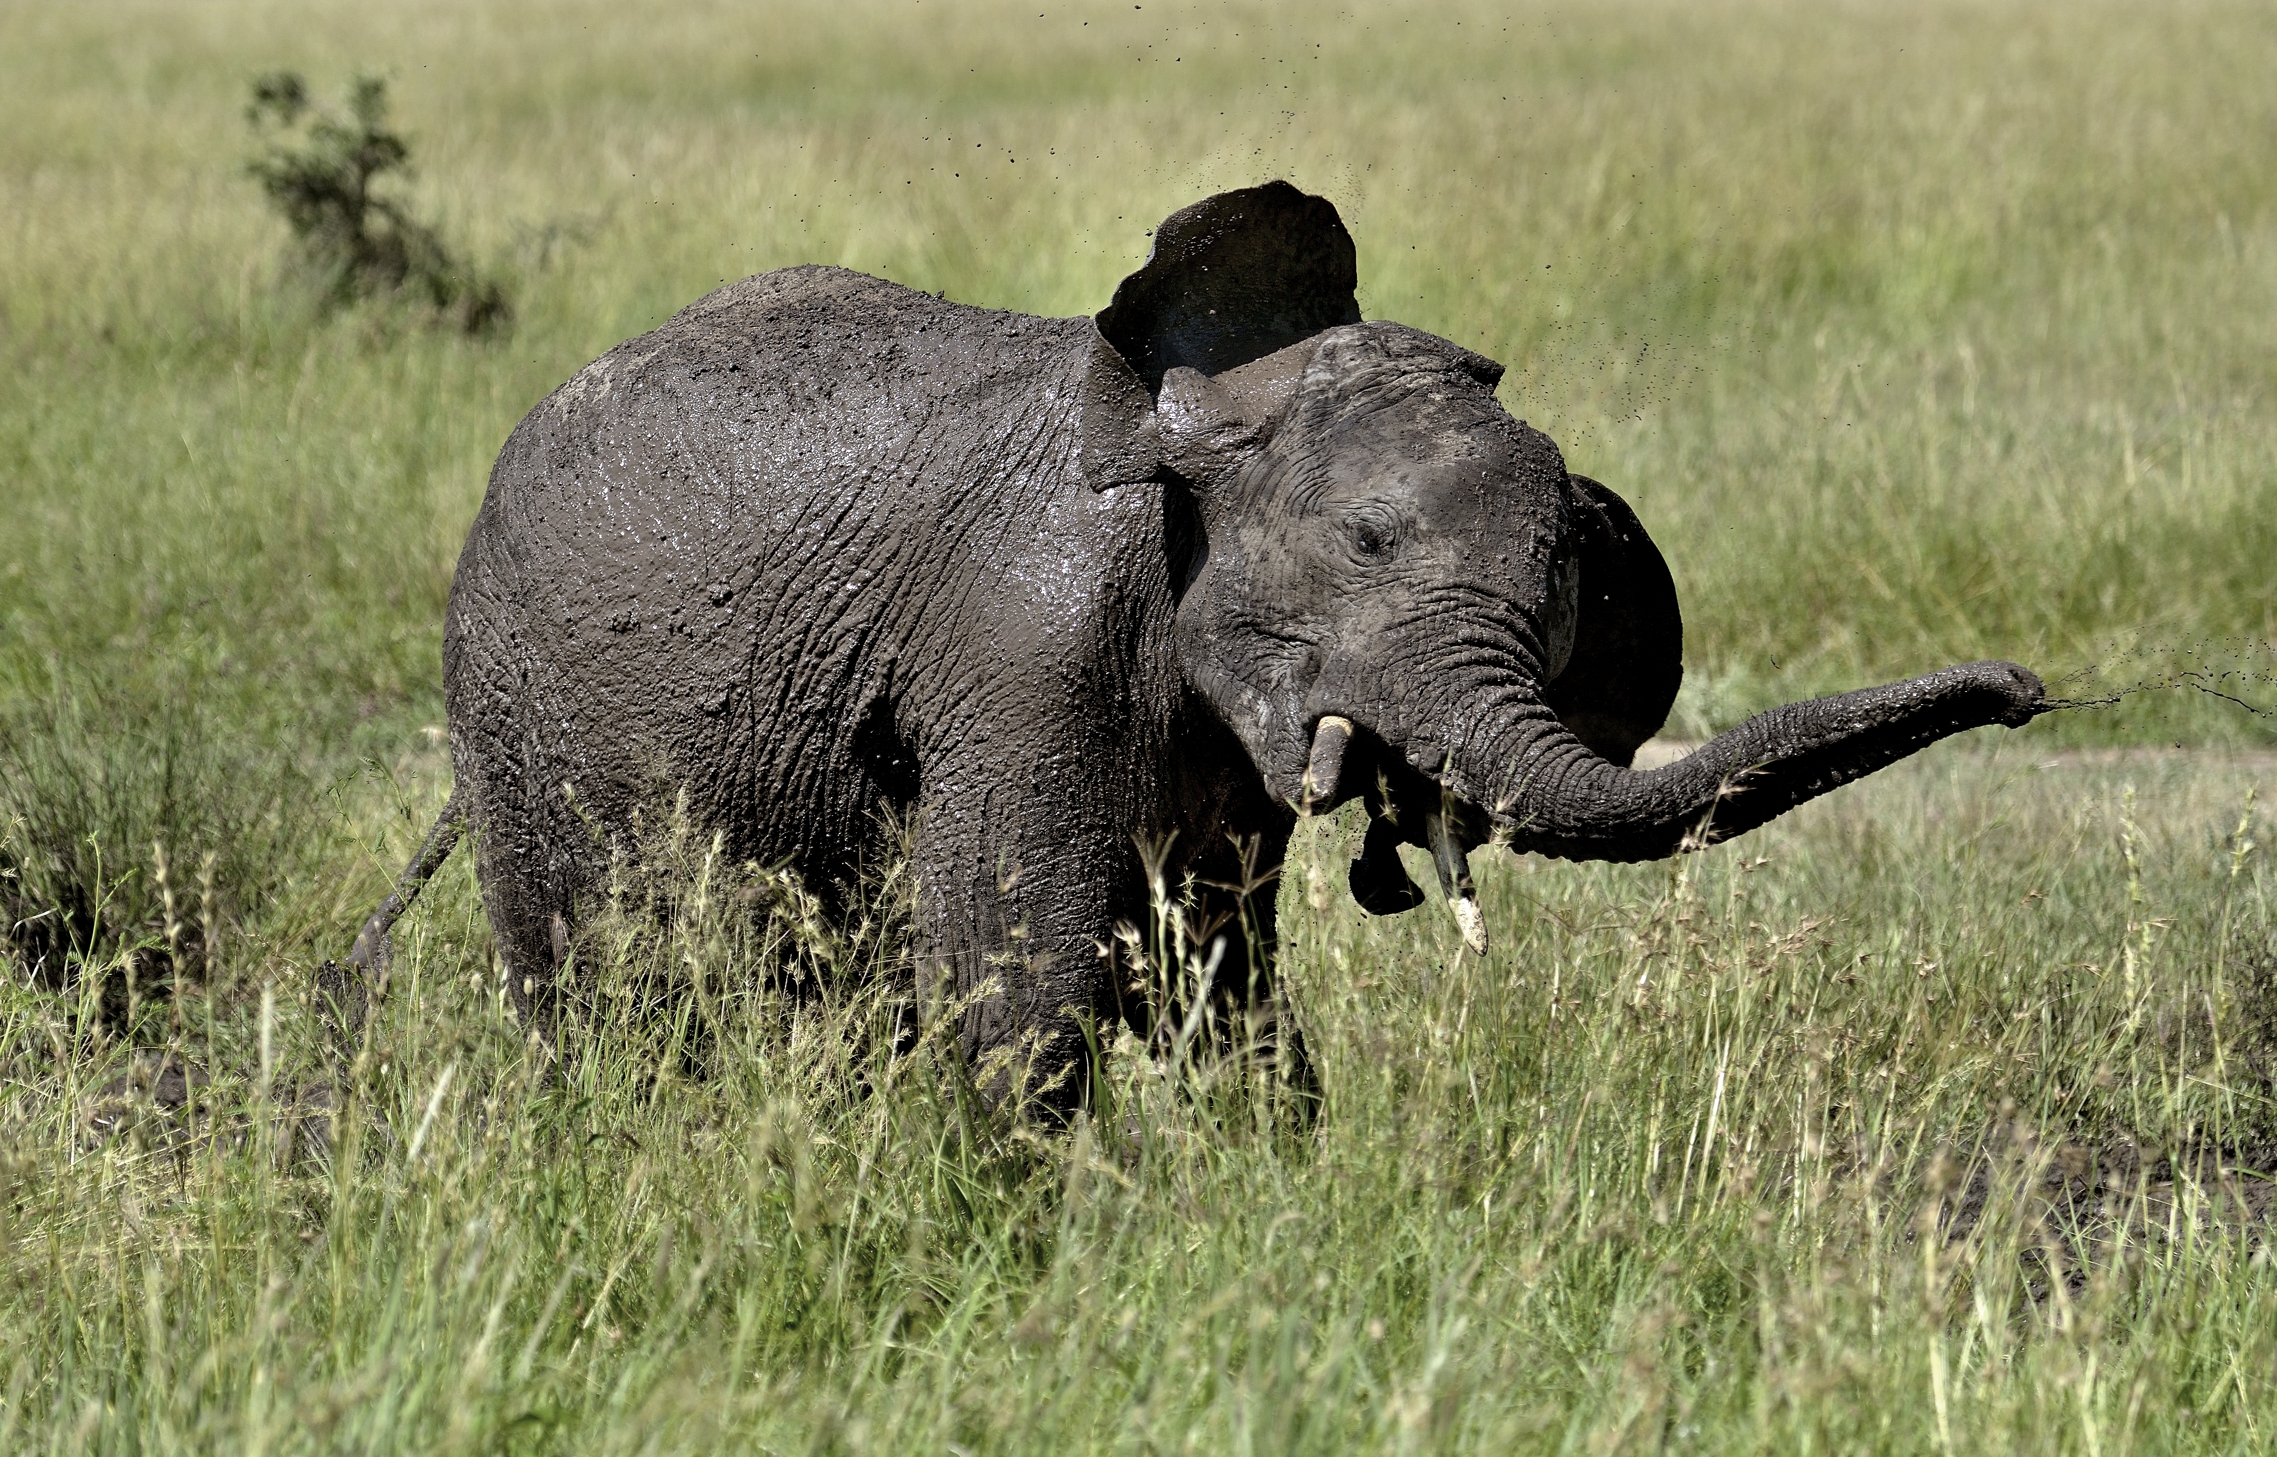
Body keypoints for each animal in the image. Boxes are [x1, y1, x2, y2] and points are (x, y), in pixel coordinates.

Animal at [341, 180, 2044, 1107]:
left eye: (1566, 591)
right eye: (1368, 545)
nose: (2027, 689)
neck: (1207, 422)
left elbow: (1227, 991)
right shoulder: (1027, 651)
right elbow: (1019, 1001)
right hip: (515, 700)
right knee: (596, 983)